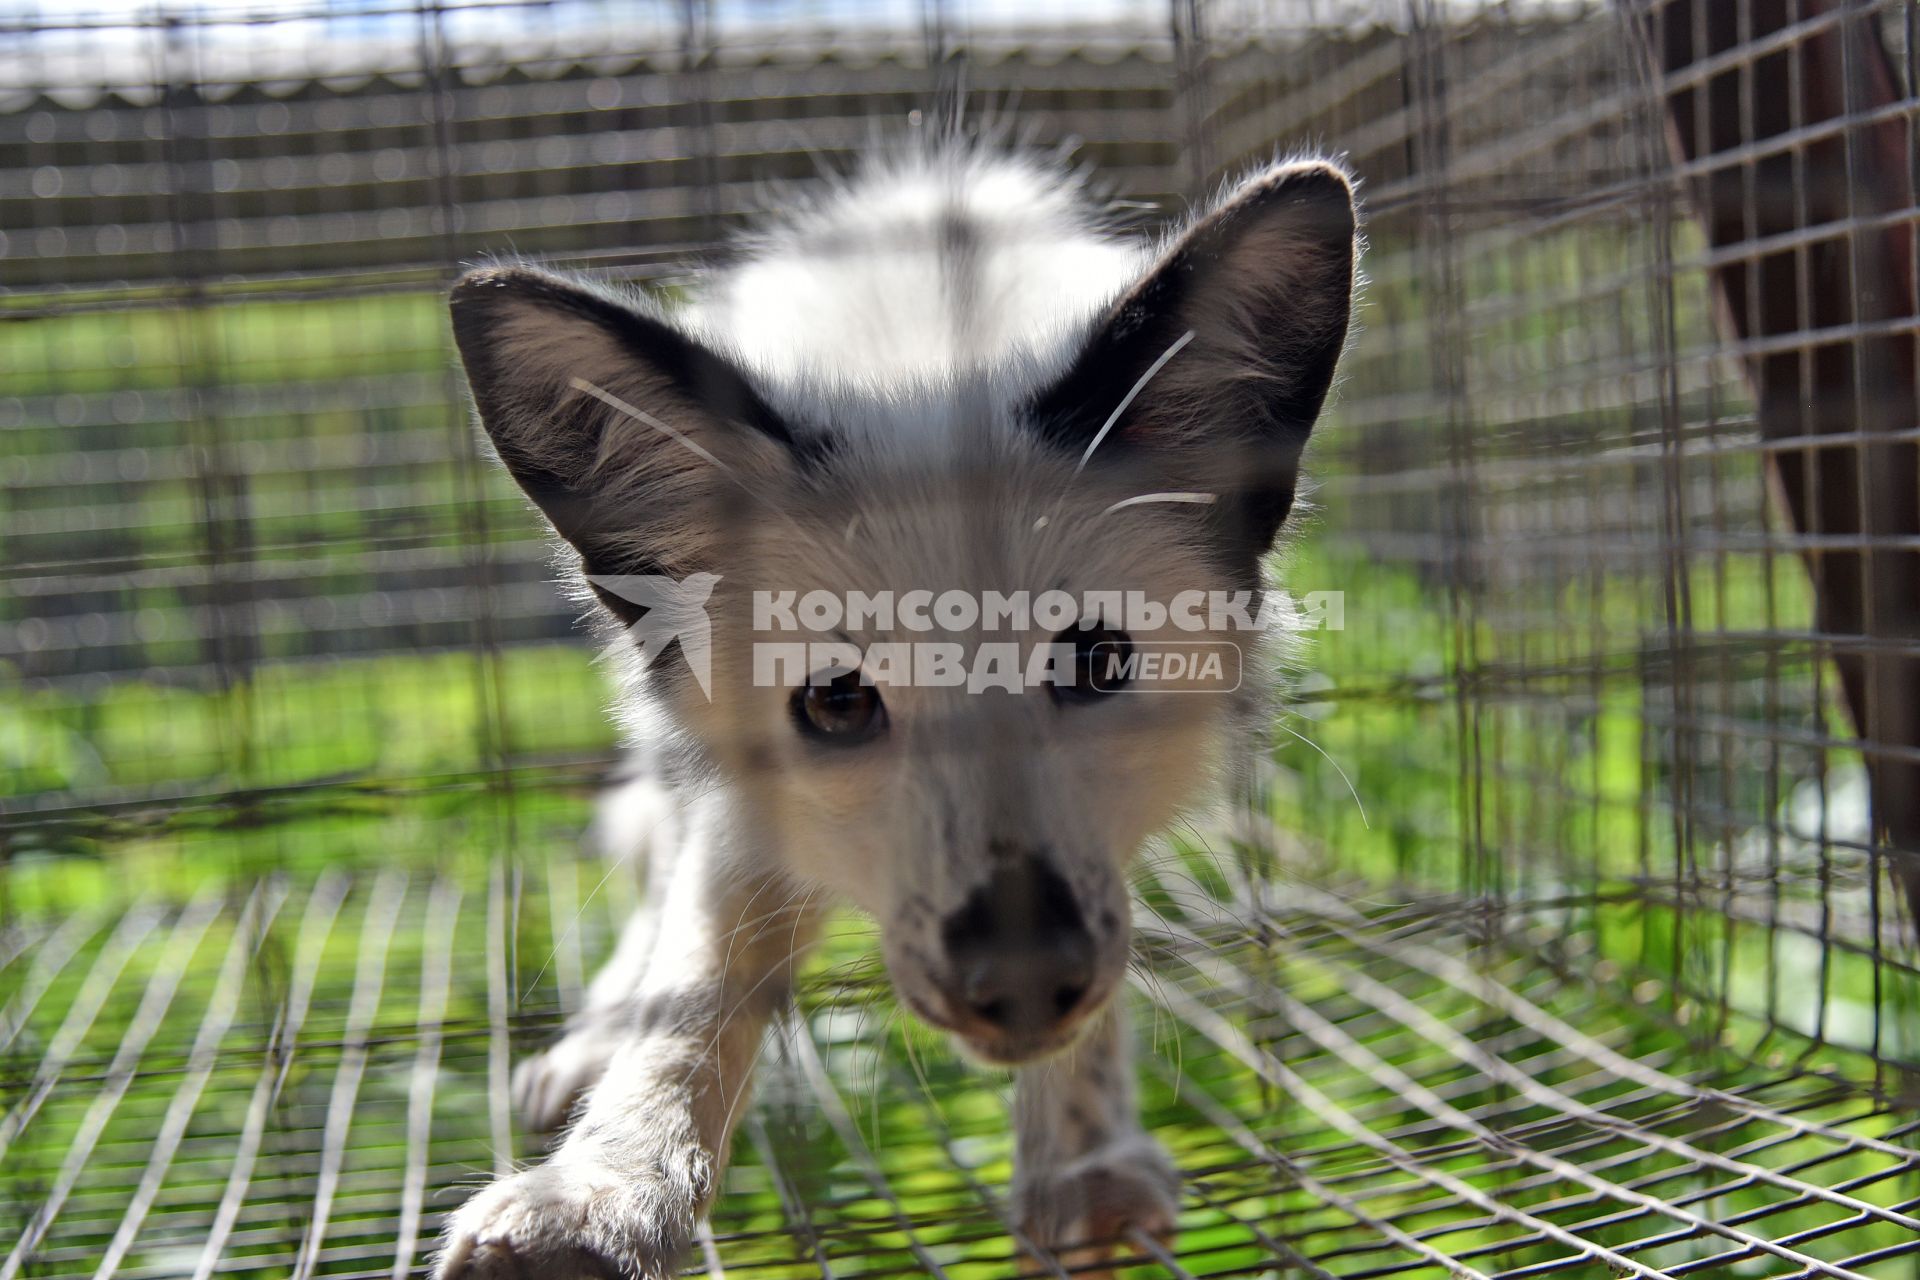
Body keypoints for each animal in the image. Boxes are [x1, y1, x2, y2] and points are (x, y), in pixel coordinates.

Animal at [435, 140, 1367, 1280]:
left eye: (1097, 658)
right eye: (837, 700)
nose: (1022, 977)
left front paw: (1084, 1157)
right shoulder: (744, 799)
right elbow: (699, 979)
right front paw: (598, 1194)